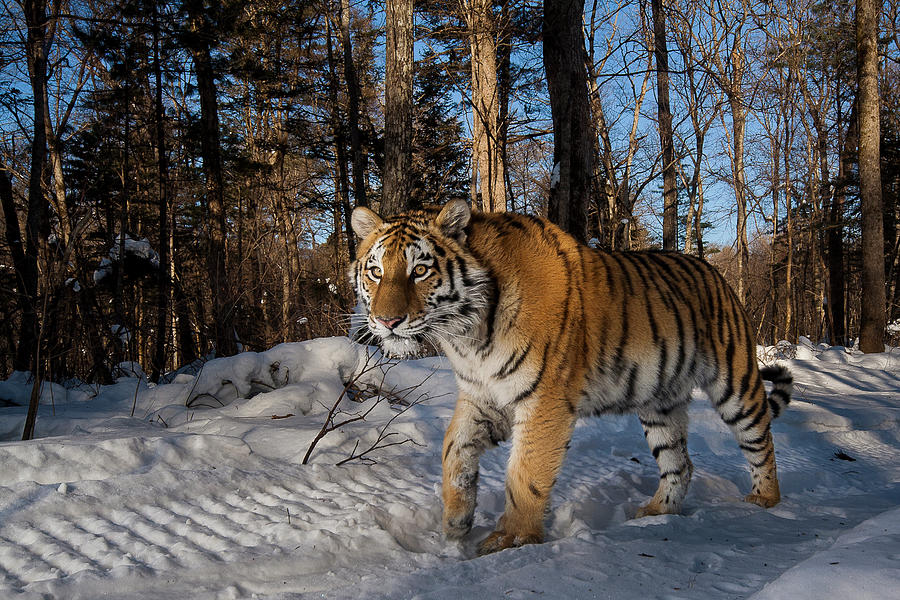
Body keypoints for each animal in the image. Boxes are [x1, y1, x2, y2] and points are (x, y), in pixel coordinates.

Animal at [348, 199, 792, 556]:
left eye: (420, 270)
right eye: (375, 272)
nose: (387, 321)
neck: (467, 335)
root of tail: (718, 274)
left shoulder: (543, 401)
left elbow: (525, 473)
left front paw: (512, 539)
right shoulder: (483, 396)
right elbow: (453, 451)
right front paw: (455, 524)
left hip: (735, 383)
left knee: (761, 440)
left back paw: (765, 501)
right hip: (660, 403)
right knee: (679, 463)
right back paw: (655, 512)